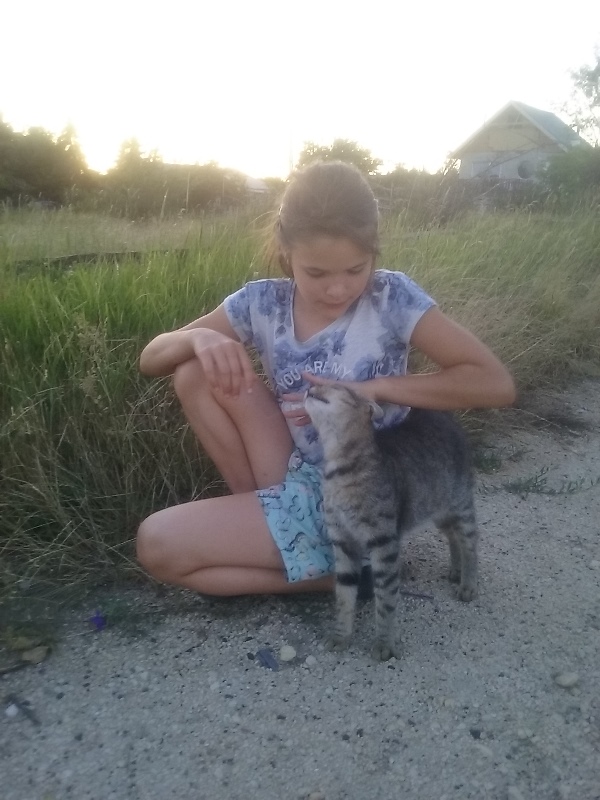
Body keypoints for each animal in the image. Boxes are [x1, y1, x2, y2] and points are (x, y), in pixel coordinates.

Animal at [304, 383, 479, 661]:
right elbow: (344, 595)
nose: (311, 384)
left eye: (336, 385)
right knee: (454, 536)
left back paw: (468, 582)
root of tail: (444, 414)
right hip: (435, 507)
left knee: (470, 541)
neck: (337, 468)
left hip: (459, 503)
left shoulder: (383, 541)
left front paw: (384, 643)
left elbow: (385, 597)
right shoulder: (343, 541)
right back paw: (456, 570)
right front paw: (341, 635)